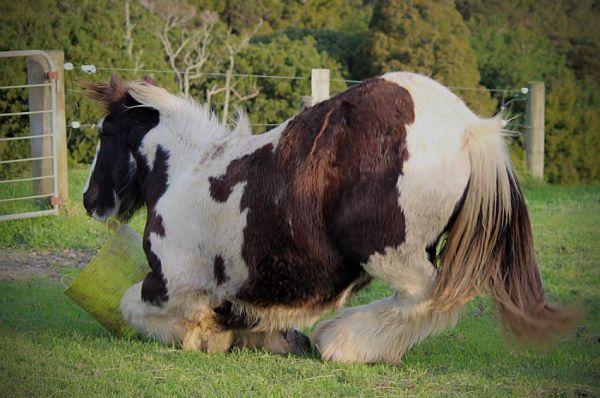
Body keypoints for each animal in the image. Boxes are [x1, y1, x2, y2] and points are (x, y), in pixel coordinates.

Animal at [82, 72, 580, 364]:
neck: (187, 170)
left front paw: (201, 335)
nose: (90, 200)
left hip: (388, 252)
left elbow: (131, 307)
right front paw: (251, 335)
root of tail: (468, 128)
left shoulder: (170, 283)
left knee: (428, 297)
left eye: (104, 133)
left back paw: (340, 342)